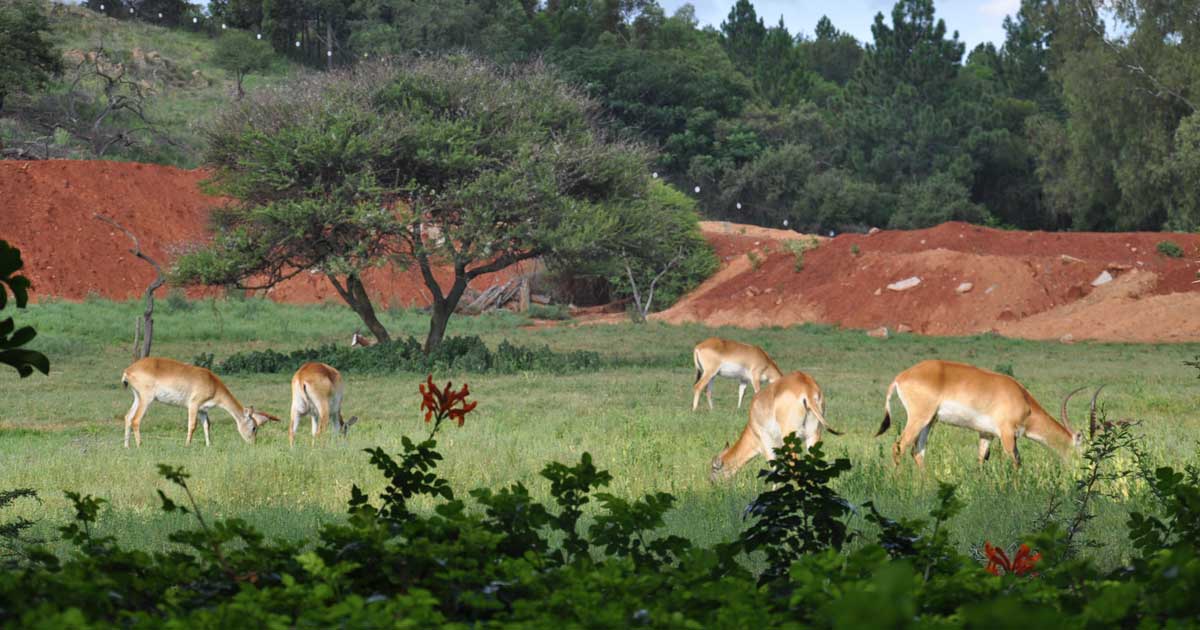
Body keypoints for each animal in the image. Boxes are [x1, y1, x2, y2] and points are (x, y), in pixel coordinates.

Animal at [122, 357, 280, 446]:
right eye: (254, 427)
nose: (253, 443)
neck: (213, 384)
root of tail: (128, 370)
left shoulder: (203, 410)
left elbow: (207, 425)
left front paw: (209, 445)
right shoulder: (193, 405)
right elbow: (192, 425)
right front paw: (187, 445)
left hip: (137, 397)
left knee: (128, 417)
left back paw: (127, 446)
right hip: (146, 398)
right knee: (136, 420)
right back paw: (140, 445)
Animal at [705, 372, 840, 480]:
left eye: (714, 468)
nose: (711, 482)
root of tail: (807, 388)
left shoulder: (767, 445)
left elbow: (775, 469)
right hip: (813, 436)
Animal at [873, 357, 1099, 465]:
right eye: (1084, 451)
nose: (1082, 472)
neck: (1023, 400)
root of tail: (901, 377)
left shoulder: (986, 434)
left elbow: (981, 460)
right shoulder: (1007, 434)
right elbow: (1017, 461)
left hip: (929, 422)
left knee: (917, 451)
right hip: (919, 418)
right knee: (899, 447)